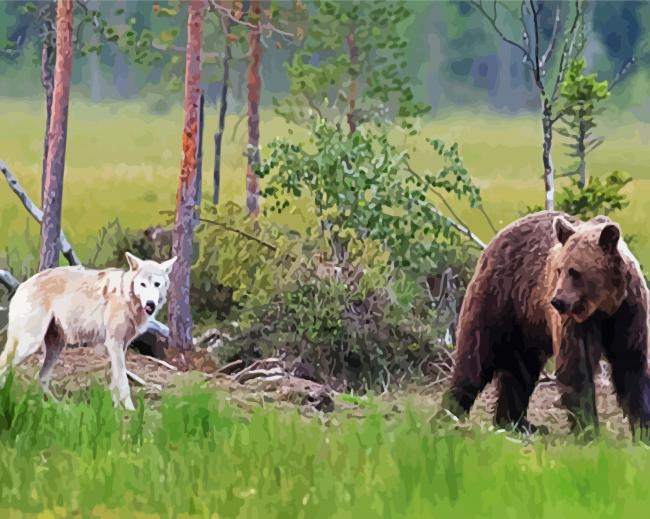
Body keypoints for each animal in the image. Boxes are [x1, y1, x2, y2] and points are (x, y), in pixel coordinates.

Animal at [0, 252, 176, 410]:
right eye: (143, 284)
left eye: (157, 284)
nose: (151, 304)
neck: (126, 297)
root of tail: (21, 285)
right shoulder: (114, 344)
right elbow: (123, 383)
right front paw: (130, 411)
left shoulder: (121, 346)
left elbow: (116, 381)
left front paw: (116, 411)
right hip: (30, 345)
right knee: (6, 367)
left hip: (56, 347)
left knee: (41, 377)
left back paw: (59, 407)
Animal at [441, 211, 650, 438]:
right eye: (559, 269)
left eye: (575, 272)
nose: (557, 301)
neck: (605, 306)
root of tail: (497, 237)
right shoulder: (577, 322)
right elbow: (576, 366)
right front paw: (588, 431)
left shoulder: (629, 313)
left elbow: (631, 364)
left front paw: (642, 430)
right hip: (499, 298)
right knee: (476, 357)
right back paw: (448, 415)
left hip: (527, 325)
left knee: (521, 370)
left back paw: (516, 424)